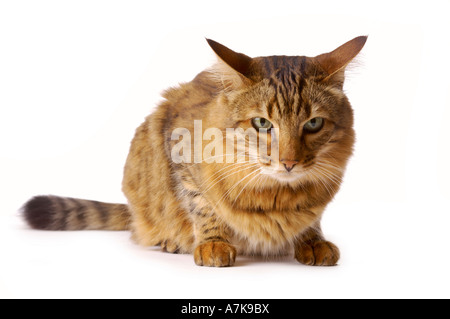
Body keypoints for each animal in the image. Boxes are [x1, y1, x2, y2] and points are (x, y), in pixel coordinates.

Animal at [22, 35, 366, 268]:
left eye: (314, 123)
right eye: (261, 123)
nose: (289, 162)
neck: (276, 195)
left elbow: (312, 218)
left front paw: (312, 240)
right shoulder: (179, 150)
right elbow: (202, 205)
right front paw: (213, 242)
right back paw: (171, 241)